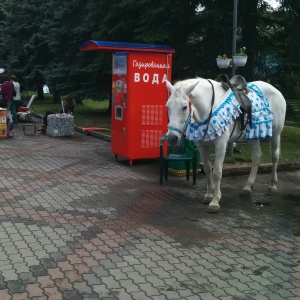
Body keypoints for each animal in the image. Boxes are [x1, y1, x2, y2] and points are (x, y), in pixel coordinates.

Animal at [166, 77, 286, 213]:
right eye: (168, 106)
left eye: (185, 107)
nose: (172, 138)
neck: (209, 106)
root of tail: (276, 91)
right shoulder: (202, 146)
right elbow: (208, 169)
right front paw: (209, 195)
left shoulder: (221, 145)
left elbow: (217, 172)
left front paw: (215, 201)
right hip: (253, 136)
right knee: (257, 156)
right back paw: (247, 188)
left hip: (276, 133)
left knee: (274, 157)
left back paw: (272, 186)